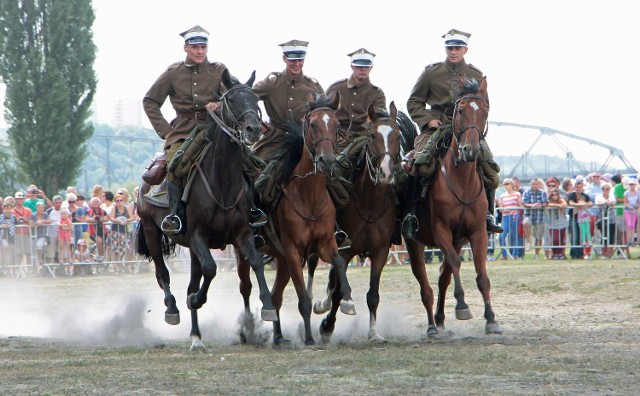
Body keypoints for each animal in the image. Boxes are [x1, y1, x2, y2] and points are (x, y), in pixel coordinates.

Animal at [136, 70, 276, 350]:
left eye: (256, 98)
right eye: (231, 99)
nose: (254, 129)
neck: (222, 181)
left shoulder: (242, 234)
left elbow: (255, 263)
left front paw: (267, 306)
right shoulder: (197, 235)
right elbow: (210, 270)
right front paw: (195, 301)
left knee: (193, 281)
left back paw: (196, 336)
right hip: (151, 230)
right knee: (162, 273)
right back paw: (173, 310)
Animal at [238, 91, 358, 344]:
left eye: (336, 125)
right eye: (312, 124)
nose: (326, 160)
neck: (308, 196)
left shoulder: (324, 245)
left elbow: (339, 262)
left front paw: (348, 301)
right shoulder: (293, 252)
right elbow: (303, 299)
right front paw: (310, 338)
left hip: (282, 261)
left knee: (276, 296)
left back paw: (278, 337)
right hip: (245, 252)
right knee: (246, 287)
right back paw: (247, 330)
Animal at [308, 100, 402, 342]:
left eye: (397, 135)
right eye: (372, 135)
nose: (385, 172)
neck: (370, 205)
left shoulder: (381, 252)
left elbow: (373, 294)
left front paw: (374, 333)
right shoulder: (346, 250)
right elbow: (339, 290)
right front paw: (327, 325)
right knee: (314, 264)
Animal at [402, 76, 502, 334]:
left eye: (484, 111)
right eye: (460, 110)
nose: (470, 150)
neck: (462, 181)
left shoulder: (476, 233)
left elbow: (481, 275)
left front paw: (491, 319)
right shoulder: (441, 230)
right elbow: (456, 264)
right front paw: (462, 306)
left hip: (457, 241)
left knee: (442, 278)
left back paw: (439, 318)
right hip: (414, 243)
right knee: (425, 284)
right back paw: (431, 325)